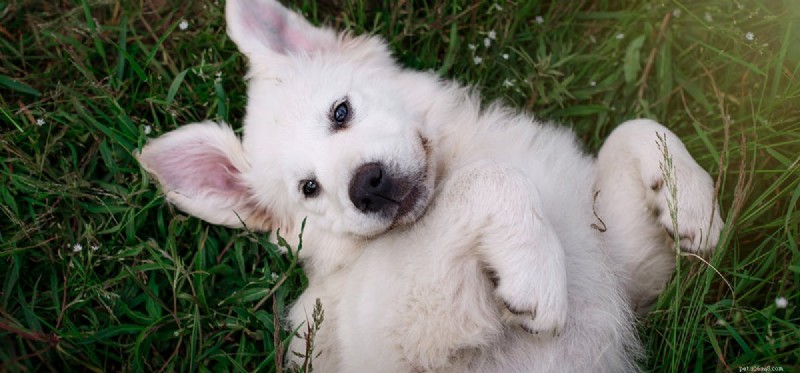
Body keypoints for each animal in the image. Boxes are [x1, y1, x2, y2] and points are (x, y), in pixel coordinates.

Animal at [134, 1, 720, 370]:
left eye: (340, 112)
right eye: (309, 188)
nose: (367, 186)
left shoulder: (617, 265)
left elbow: (636, 127)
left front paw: (692, 204)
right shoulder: (395, 329)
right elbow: (489, 177)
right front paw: (534, 272)